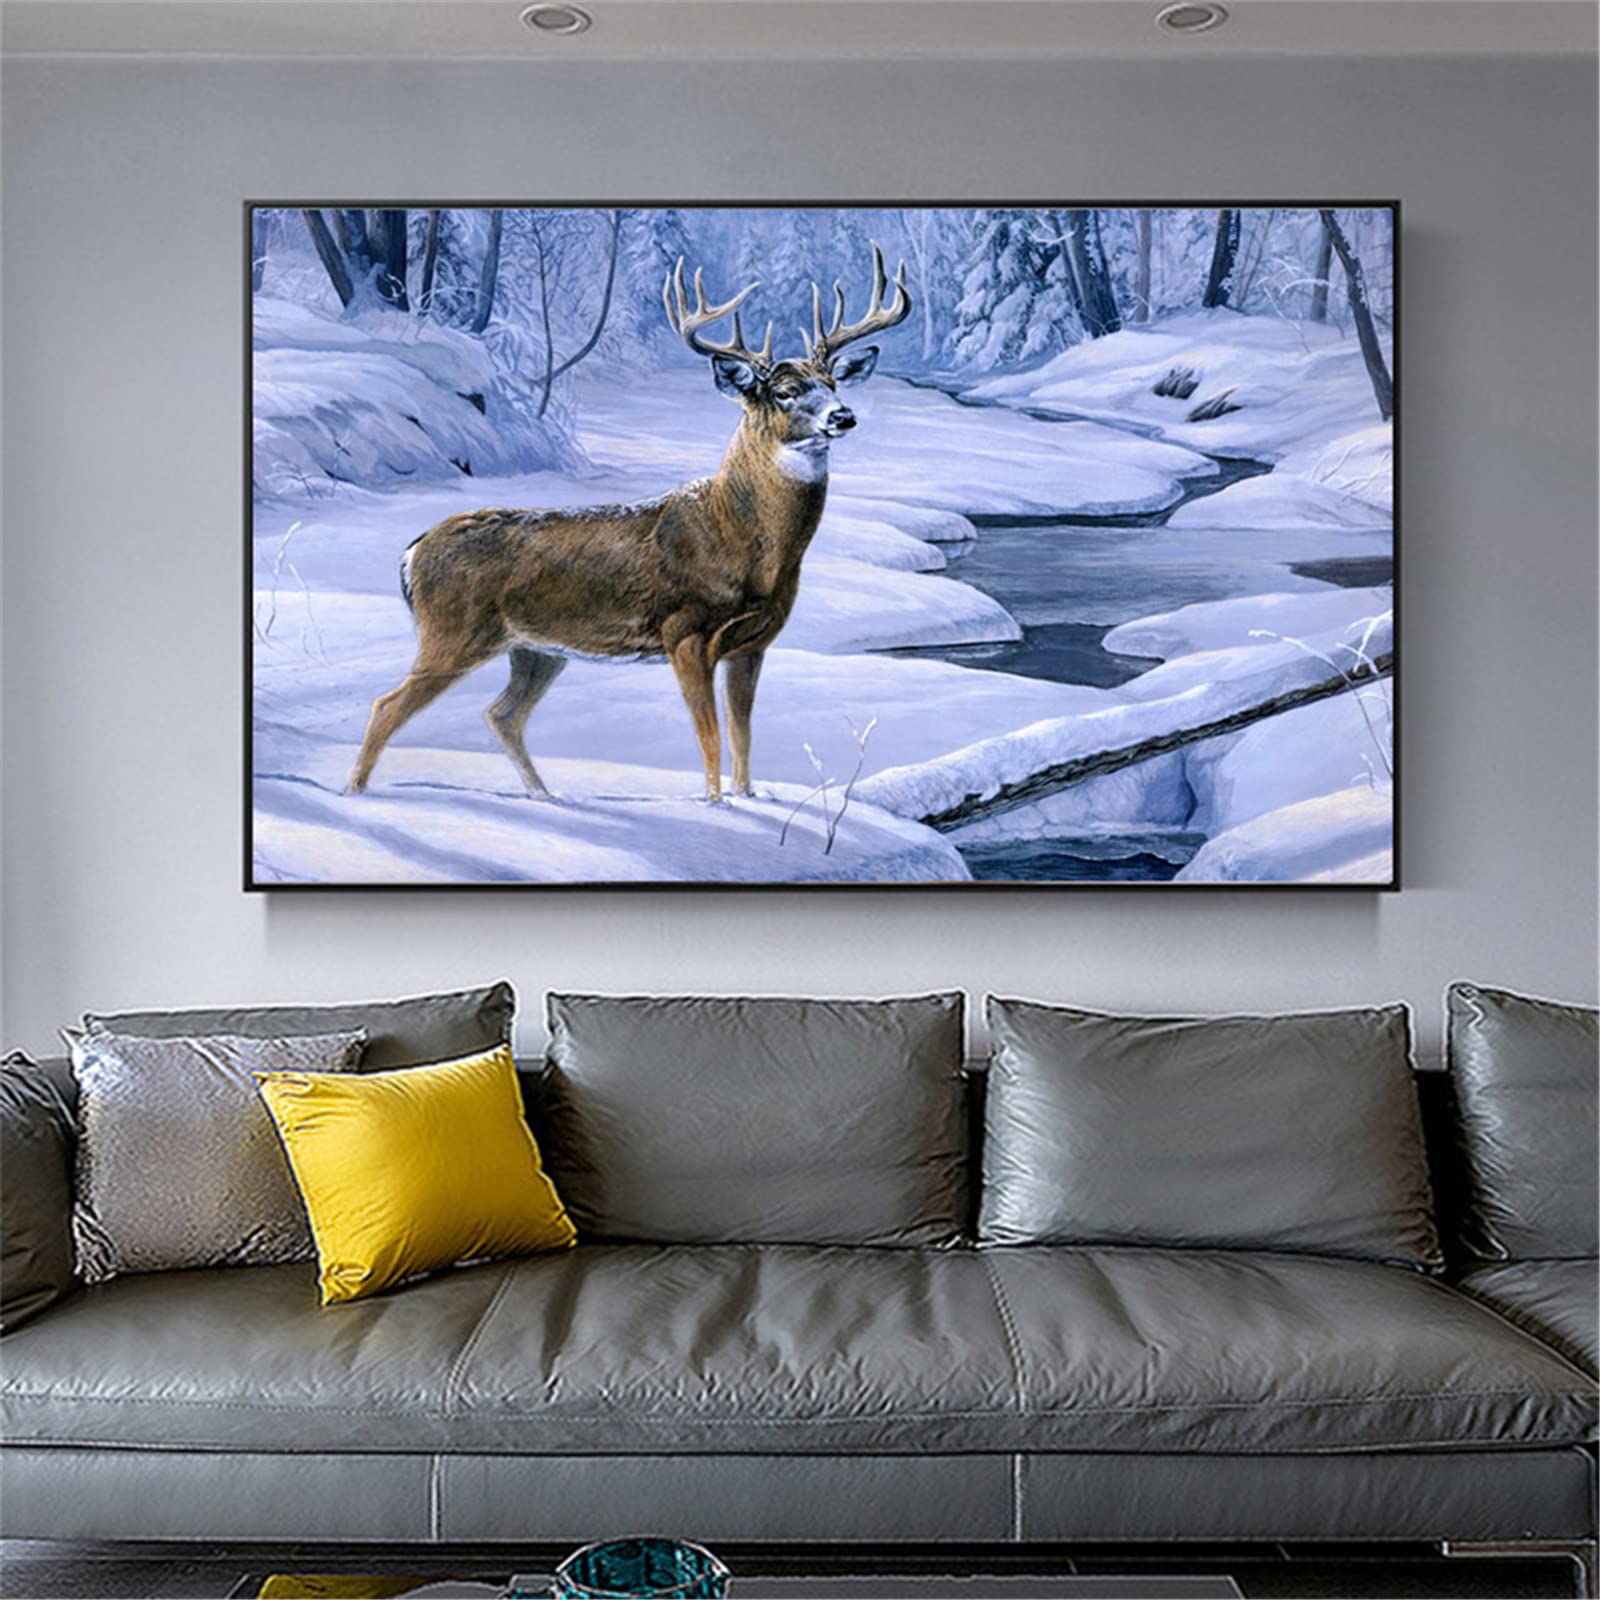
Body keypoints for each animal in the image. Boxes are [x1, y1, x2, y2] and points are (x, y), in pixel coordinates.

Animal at [345, 242, 911, 804]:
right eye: (785, 391)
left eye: (832, 382)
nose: (843, 416)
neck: (741, 541)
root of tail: (412, 552)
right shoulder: (684, 630)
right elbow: (709, 737)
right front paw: (714, 805)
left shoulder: (753, 643)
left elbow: (743, 736)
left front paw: (747, 800)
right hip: (453, 631)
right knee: (386, 705)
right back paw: (355, 792)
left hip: (535, 649)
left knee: (502, 713)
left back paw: (545, 797)